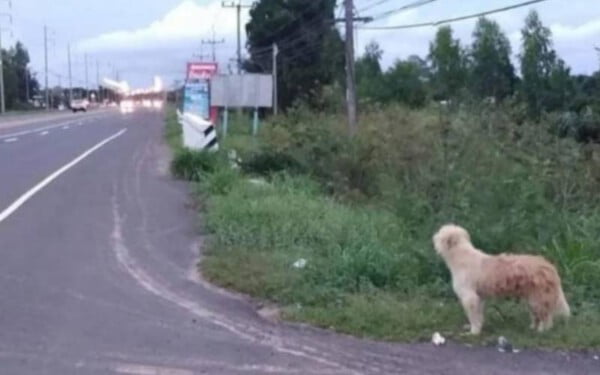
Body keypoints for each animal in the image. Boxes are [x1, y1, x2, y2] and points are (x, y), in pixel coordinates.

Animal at [434, 225, 568, 336]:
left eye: (439, 233)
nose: (433, 237)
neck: (461, 256)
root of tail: (549, 266)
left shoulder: (469, 297)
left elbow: (473, 316)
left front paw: (474, 332)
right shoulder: (479, 297)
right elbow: (479, 315)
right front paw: (478, 327)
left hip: (538, 299)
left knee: (546, 318)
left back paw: (541, 331)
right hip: (532, 299)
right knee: (539, 316)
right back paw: (532, 328)